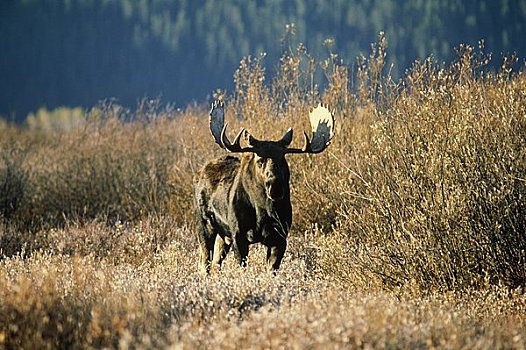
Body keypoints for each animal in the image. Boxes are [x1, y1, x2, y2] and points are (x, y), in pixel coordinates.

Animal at [193, 101, 334, 274]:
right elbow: (243, 266)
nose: (275, 185)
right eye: (260, 160)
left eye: (282, 160)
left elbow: (272, 269)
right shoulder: (238, 234)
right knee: (204, 262)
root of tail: (200, 172)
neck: (262, 212)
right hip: (204, 224)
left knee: (215, 263)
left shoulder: (280, 237)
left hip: (223, 235)